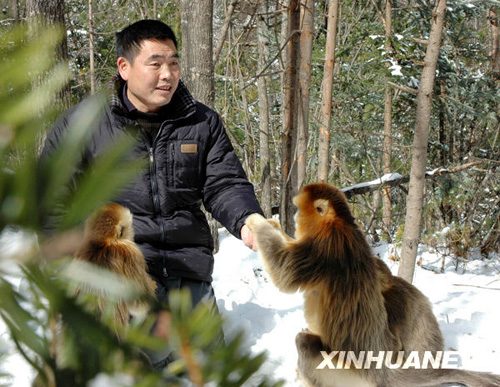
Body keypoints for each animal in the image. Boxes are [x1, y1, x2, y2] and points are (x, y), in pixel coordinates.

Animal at [245, 183, 500, 386]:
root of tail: (382, 371)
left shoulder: (324, 247)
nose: (295, 217)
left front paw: (255, 221)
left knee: (305, 343)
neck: (339, 223)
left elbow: (283, 271)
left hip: (345, 373)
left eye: (299, 209)